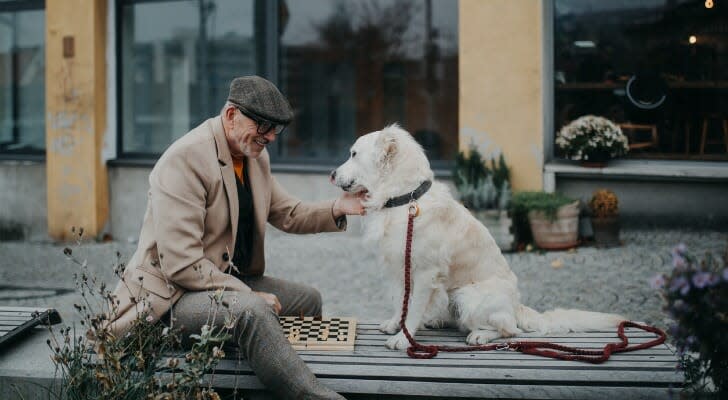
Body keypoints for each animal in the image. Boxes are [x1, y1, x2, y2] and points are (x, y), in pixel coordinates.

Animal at [332, 124, 624, 350]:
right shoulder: (397, 267)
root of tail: (516, 306)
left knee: (510, 329)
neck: (405, 198)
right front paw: (395, 324)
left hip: (468, 295)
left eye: (354, 154)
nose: (332, 174)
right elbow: (400, 301)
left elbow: (412, 308)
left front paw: (404, 339)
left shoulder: (425, 272)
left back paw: (481, 335)